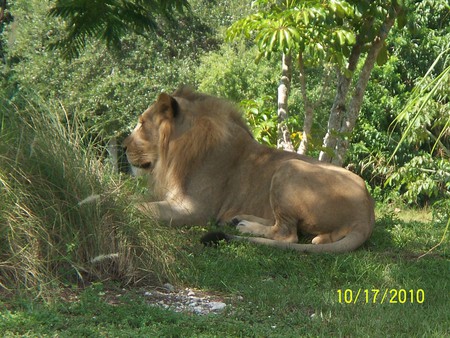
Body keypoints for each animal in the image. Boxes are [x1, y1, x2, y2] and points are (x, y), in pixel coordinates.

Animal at [124, 88, 376, 254]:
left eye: (142, 124)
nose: (123, 147)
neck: (174, 155)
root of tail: (366, 215)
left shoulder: (195, 209)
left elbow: (142, 208)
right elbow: (136, 201)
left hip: (289, 167)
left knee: (287, 235)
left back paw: (245, 226)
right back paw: (238, 219)